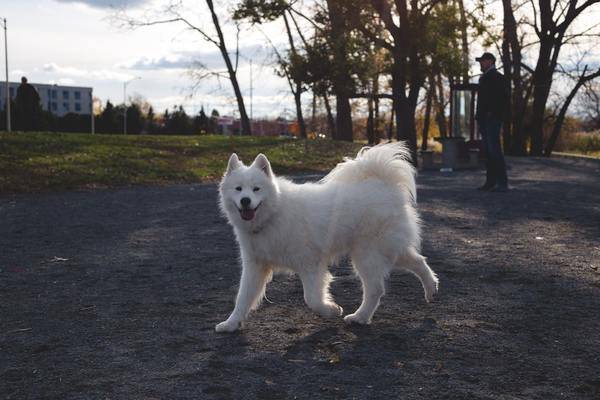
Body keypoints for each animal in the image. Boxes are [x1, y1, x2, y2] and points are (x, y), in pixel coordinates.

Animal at [214, 142, 436, 332]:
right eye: (238, 189)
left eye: (256, 189)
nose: (245, 200)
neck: (273, 214)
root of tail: (384, 184)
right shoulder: (255, 266)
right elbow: (242, 298)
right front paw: (231, 324)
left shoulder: (310, 263)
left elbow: (311, 298)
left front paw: (331, 310)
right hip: (386, 249)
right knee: (418, 261)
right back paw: (431, 289)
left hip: (368, 254)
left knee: (375, 289)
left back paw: (360, 317)